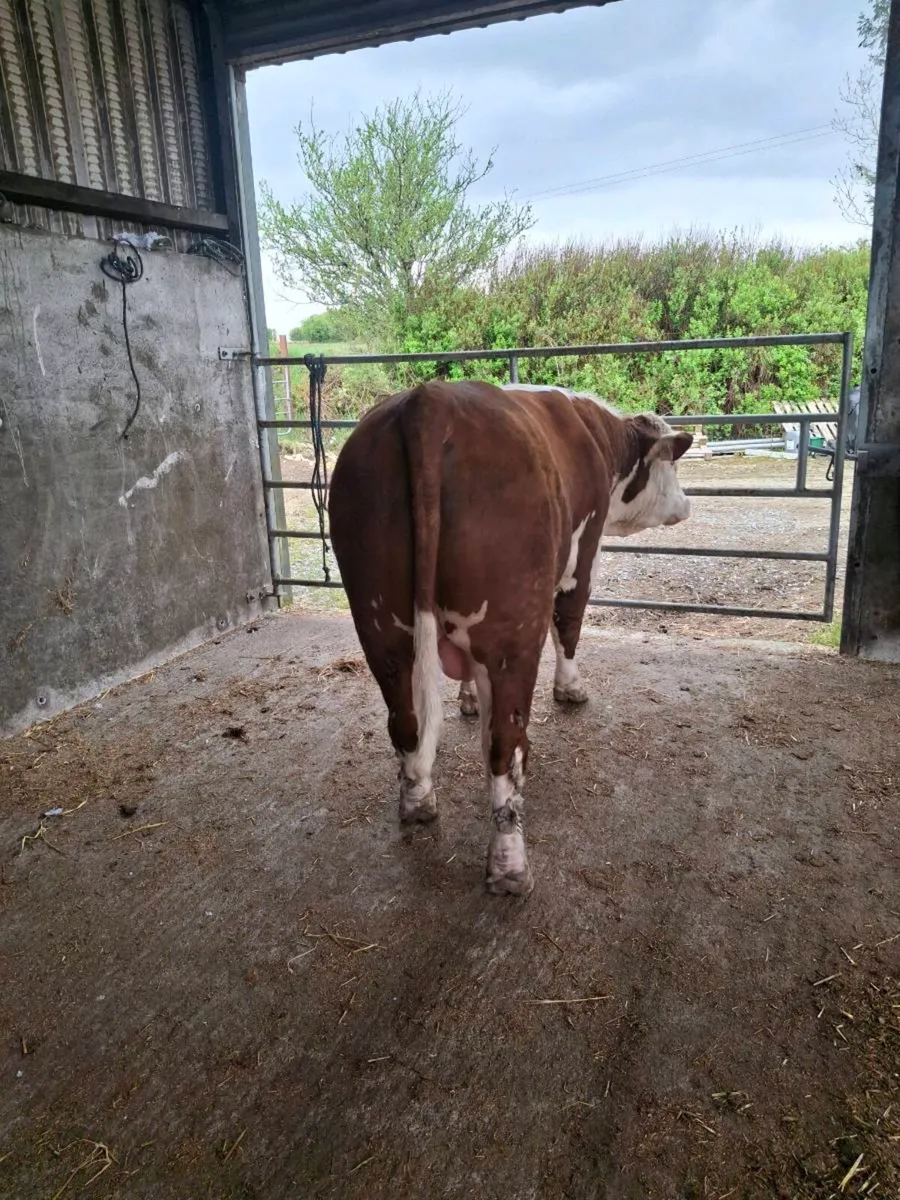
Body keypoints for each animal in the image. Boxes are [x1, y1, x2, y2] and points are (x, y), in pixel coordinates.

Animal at [328, 379, 692, 896]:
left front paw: (466, 699)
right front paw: (571, 690)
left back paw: (418, 803)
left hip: (381, 626)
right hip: (512, 634)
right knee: (505, 747)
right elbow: (570, 624)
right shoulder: (582, 555)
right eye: (672, 464)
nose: (686, 504)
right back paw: (510, 868)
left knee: (407, 722)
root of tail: (429, 399)